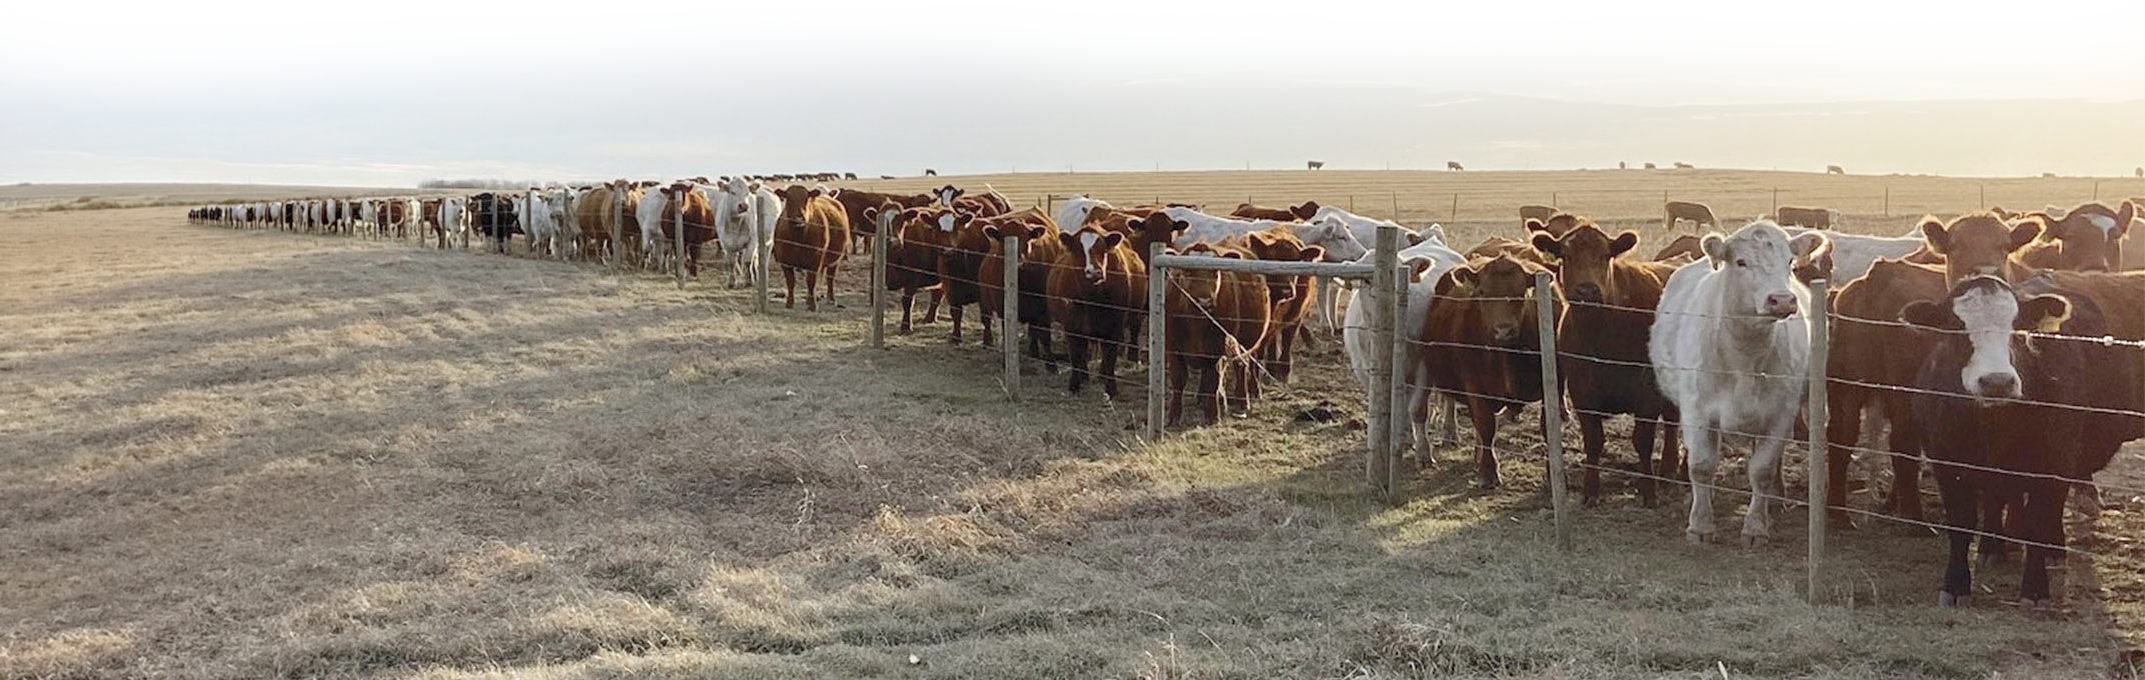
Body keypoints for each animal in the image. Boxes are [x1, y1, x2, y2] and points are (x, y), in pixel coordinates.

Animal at [1048, 225, 1149, 398]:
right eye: (1078, 249)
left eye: (1103, 249)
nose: (1094, 272)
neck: (1091, 298)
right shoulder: (1071, 326)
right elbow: (1076, 354)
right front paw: (1074, 385)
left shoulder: (1114, 326)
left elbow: (1110, 356)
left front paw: (1111, 387)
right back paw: (1084, 375)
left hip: (1135, 315)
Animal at [1417, 254, 1560, 488]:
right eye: (1483, 292)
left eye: (1520, 292)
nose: (1503, 330)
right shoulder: (1475, 386)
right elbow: (1485, 426)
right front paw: (1488, 473)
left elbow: (1548, 426)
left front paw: (1552, 473)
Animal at [1528, 217, 1682, 507]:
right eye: (1566, 256)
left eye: (1605, 256)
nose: (1587, 290)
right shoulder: (1581, 391)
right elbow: (1594, 442)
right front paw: (1590, 491)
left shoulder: (1648, 390)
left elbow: (1643, 440)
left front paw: (1648, 491)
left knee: (1674, 421)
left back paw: (1670, 468)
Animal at [1650, 220, 1829, 544]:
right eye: (1741, 262)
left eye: (1790, 262)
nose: (1782, 300)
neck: (1745, 358)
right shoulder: (1697, 412)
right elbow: (1701, 466)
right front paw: (1700, 525)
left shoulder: (1780, 414)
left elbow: (1762, 470)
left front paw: (1756, 527)